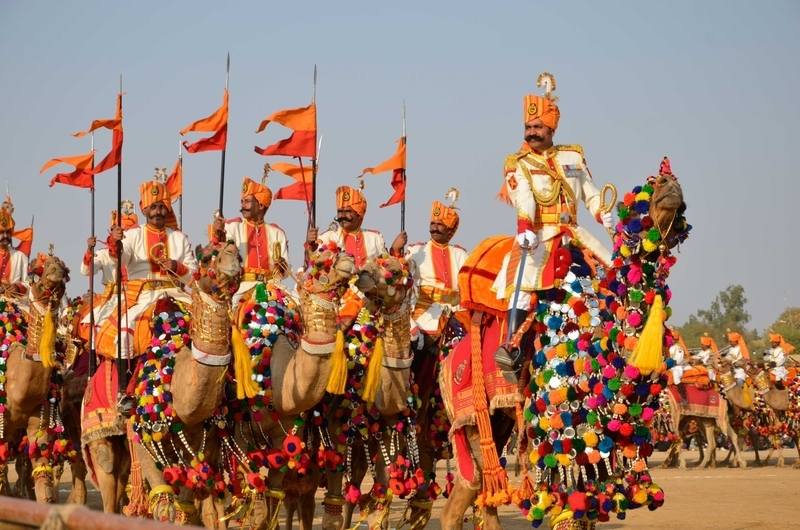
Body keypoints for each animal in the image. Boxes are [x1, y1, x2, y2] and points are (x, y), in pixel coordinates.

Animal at [438, 162, 688, 528]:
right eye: (651, 184)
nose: (671, 185)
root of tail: (447, 360)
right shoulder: (562, 429)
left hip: (497, 422)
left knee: (480, 495)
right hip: (469, 417)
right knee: (468, 491)